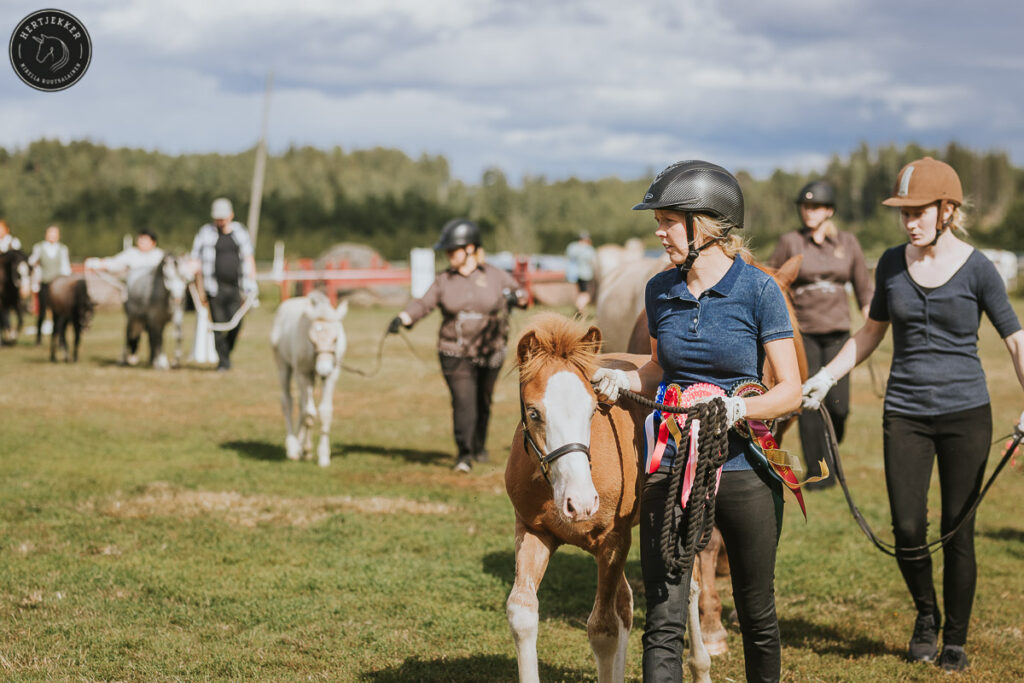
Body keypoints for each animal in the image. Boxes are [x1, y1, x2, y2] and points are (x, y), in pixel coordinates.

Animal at [270, 290, 350, 466]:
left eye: (335, 339)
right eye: (312, 340)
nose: (323, 370)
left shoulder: (333, 373)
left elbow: (324, 411)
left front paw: (324, 456)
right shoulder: (303, 373)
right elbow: (309, 413)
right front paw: (306, 451)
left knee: (301, 405)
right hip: (283, 366)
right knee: (288, 402)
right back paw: (293, 448)